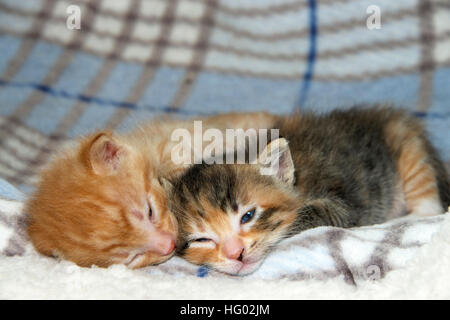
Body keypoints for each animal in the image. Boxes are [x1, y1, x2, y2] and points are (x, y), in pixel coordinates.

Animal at [166, 107, 450, 276]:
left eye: (248, 216)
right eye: (202, 240)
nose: (236, 254)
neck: (299, 183)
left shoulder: (343, 204)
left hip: (409, 148)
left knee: (430, 205)